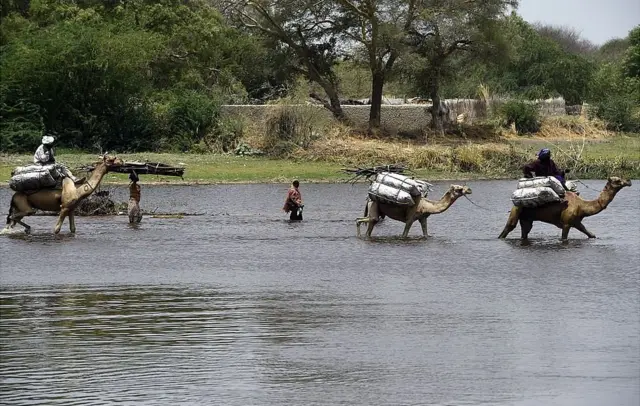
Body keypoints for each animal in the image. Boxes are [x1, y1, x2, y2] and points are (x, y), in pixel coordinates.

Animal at [498, 176, 632, 241]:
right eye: (618, 180)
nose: (629, 181)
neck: (582, 206)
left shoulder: (576, 222)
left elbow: (591, 235)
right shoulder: (566, 223)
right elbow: (563, 238)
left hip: (526, 217)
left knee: (525, 231)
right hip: (517, 209)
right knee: (508, 227)